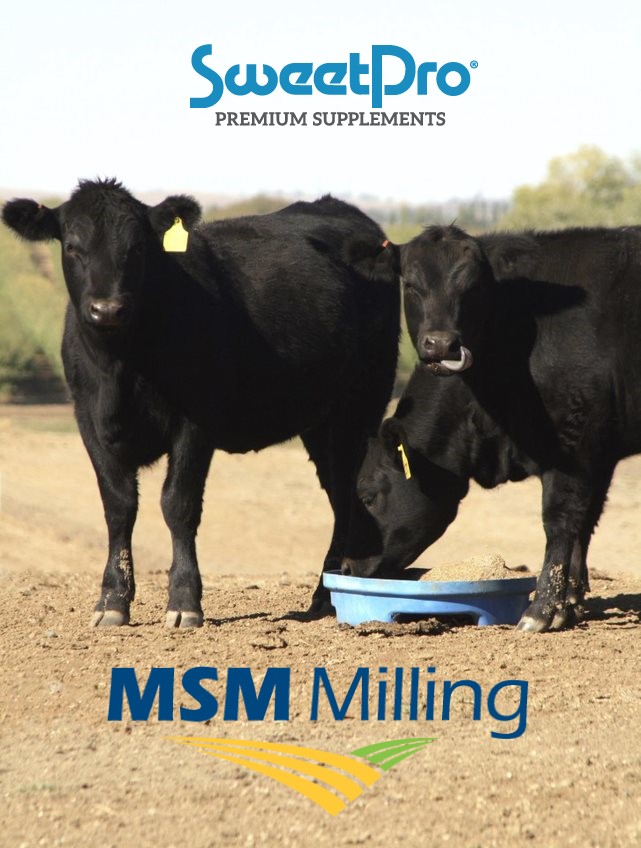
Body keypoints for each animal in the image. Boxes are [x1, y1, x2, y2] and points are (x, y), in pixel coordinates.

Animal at [2, 179, 400, 627]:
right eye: (71, 246)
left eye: (137, 248)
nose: (107, 309)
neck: (119, 368)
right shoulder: (89, 423)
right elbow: (118, 507)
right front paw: (112, 601)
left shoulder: (194, 422)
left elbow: (178, 504)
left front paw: (183, 601)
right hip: (320, 420)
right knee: (337, 493)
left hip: (361, 404)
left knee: (349, 493)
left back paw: (326, 595)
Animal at [344, 224, 641, 632]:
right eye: (411, 285)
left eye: (367, 495)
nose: (346, 565)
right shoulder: (600, 454)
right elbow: (586, 522)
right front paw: (570, 602)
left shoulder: (573, 445)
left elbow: (560, 520)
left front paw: (542, 610)